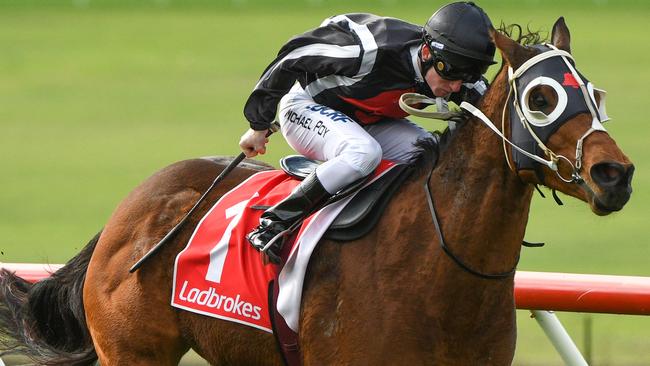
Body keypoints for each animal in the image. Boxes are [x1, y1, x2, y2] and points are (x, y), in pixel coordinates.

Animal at [0, 18, 632, 364]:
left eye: (595, 94)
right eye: (542, 98)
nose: (615, 175)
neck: (440, 267)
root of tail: (127, 212)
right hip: (135, 351)